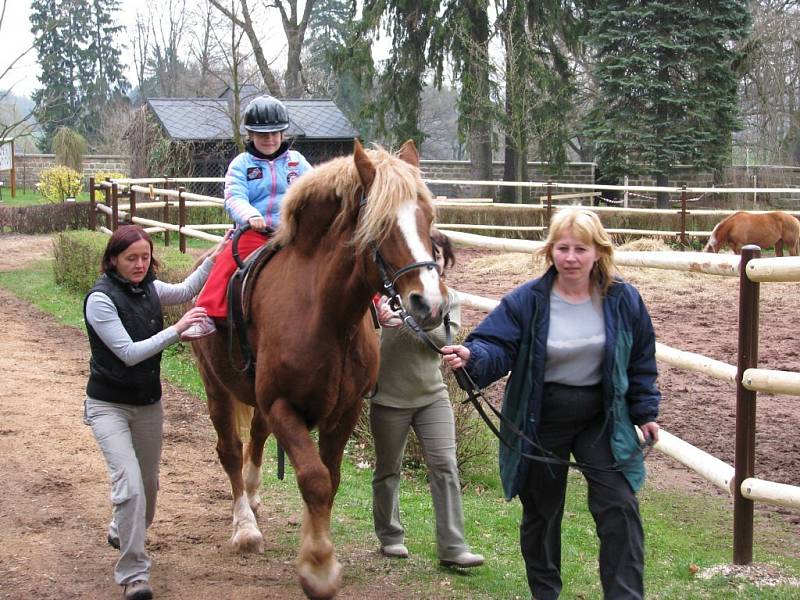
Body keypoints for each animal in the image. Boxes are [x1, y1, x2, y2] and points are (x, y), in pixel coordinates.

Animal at [191, 142, 446, 600]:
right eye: (382, 225)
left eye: (428, 218)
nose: (429, 304)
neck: (325, 315)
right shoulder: (283, 406)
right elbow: (314, 479)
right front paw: (319, 566)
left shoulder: (343, 412)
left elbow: (331, 478)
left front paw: (316, 545)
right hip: (215, 386)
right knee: (231, 450)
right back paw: (245, 526)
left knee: (256, 438)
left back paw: (253, 496)